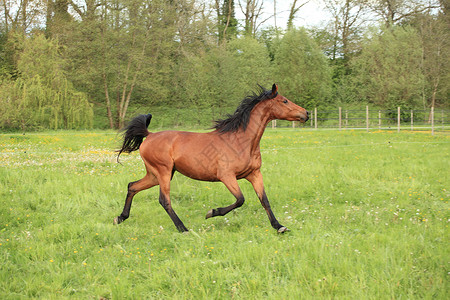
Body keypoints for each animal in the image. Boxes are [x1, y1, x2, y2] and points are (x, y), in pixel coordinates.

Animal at [113, 83, 310, 233]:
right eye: (284, 100)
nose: (306, 113)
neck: (241, 141)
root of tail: (150, 134)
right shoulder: (227, 176)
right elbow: (240, 199)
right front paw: (212, 212)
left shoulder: (254, 174)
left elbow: (264, 200)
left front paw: (279, 227)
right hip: (163, 172)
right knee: (164, 200)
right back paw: (183, 229)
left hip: (156, 174)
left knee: (132, 186)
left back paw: (120, 218)